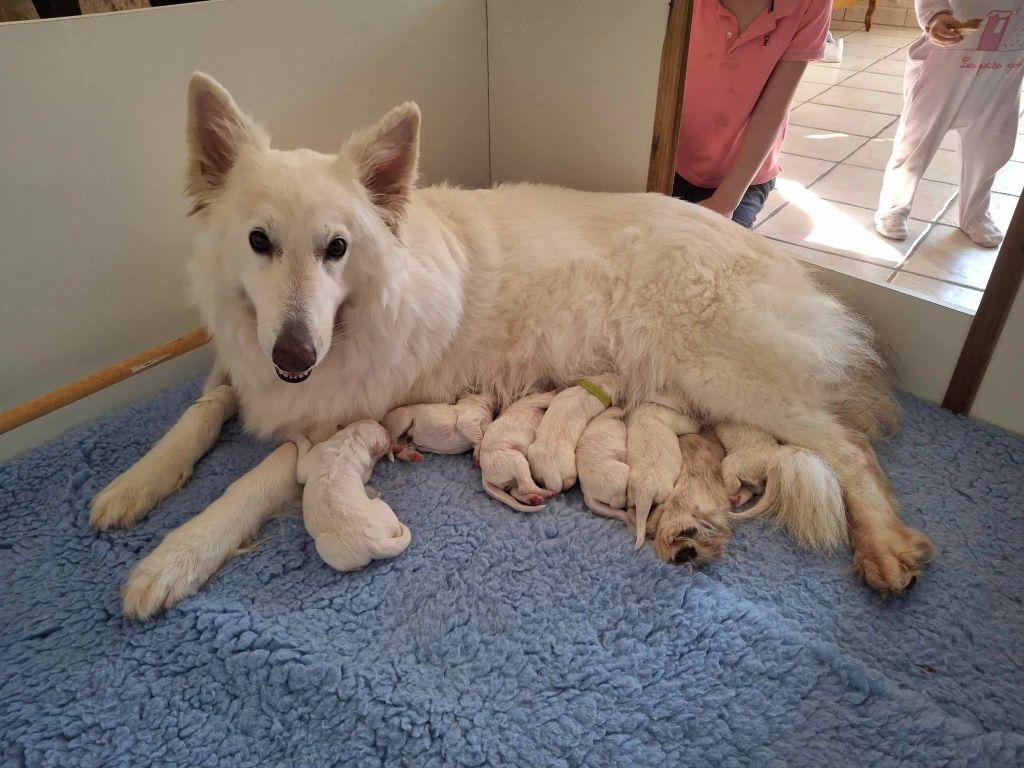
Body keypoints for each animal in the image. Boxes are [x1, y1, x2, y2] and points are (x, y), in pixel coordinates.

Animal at [290, 421, 409, 573]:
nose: (390, 435)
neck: (352, 440)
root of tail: (377, 543)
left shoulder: (313, 455)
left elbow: (301, 459)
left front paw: (295, 435)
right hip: (383, 509)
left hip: (325, 547)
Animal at [618, 399, 700, 548]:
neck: (647, 408)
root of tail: (645, 490)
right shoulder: (675, 419)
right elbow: (689, 425)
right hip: (664, 491)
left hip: (630, 493)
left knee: (630, 509)